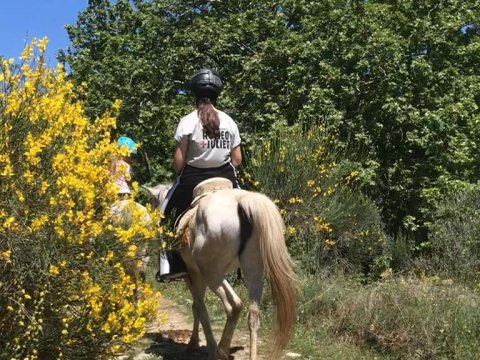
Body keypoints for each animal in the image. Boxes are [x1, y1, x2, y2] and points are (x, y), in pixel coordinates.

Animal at [144, 184, 298, 360]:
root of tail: (243, 200)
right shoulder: (204, 276)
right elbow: (197, 307)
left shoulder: (192, 275)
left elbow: (199, 309)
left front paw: (195, 344)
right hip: (252, 271)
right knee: (251, 312)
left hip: (212, 274)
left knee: (233, 305)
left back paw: (219, 350)